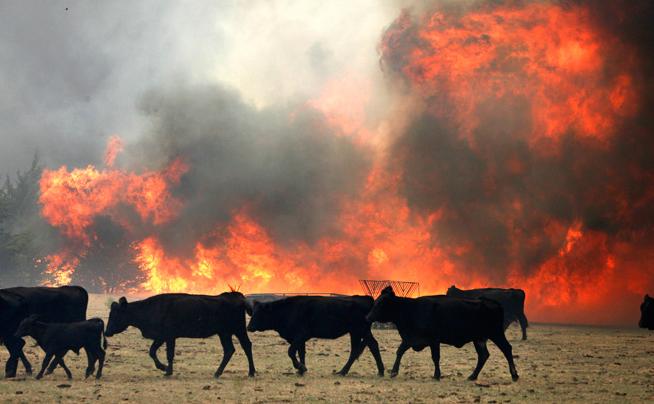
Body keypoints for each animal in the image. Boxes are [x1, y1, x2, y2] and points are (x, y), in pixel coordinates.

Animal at [105, 292, 256, 378]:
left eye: (115, 314)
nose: (106, 332)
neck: (150, 309)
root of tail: (236, 296)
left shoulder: (169, 336)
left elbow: (169, 354)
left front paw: (167, 370)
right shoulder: (161, 337)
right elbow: (152, 351)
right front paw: (164, 368)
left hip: (238, 330)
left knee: (246, 346)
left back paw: (251, 372)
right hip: (224, 333)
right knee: (230, 349)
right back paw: (218, 373)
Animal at [249, 294, 386, 376]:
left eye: (259, 313)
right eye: (252, 312)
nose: (248, 327)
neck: (286, 311)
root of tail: (365, 298)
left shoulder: (300, 335)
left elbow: (291, 352)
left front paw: (300, 367)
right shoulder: (299, 339)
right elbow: (301, 352)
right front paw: (301, 370)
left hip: (360, 330)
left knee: (367, 347)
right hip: (357, 332)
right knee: (365, 347)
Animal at [368, 288, 516, 382]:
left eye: (380, 303)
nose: (367, 317)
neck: (410, 309)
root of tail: (490, 301)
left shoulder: (434, 340)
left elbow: (435, 357)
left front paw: (437, 375)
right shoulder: (411, 339)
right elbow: (400, 351)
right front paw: (394, 371)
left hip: (496, 333)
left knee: (507, 349)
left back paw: (514, 375)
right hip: (479, 339)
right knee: (483, 355)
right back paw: (472, 376)